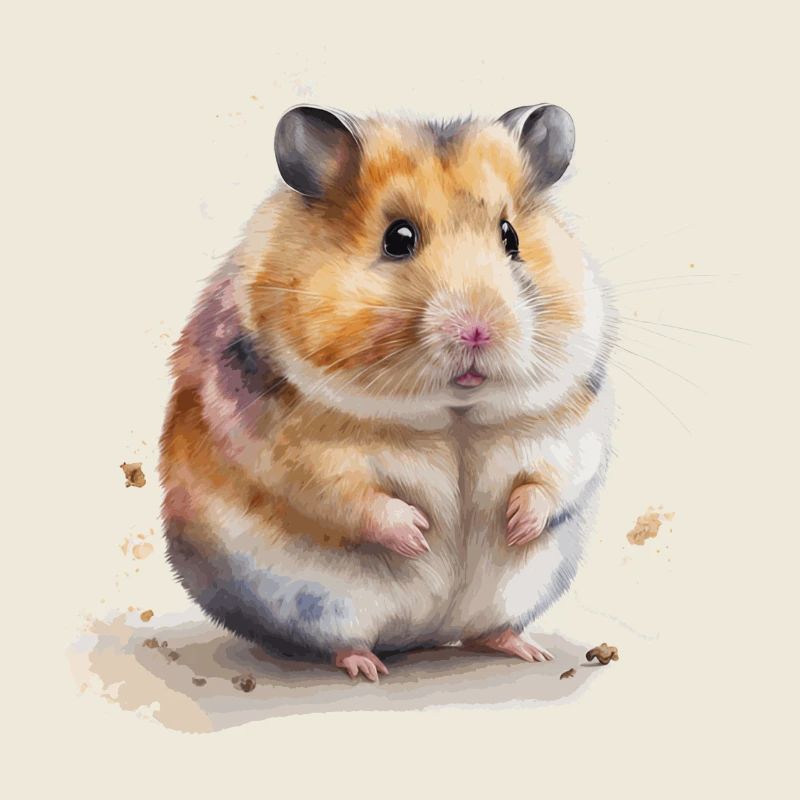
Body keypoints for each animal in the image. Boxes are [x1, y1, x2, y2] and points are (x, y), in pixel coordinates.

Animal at [159, 103, 616, 681]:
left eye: (510, 236)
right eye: (398, 238)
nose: (477, 330)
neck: (454, 413)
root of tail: (426, 635)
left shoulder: (569, 421)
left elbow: (553, 477)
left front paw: (515, 525)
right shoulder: (295, 451)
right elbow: (352, 496)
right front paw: (421, 533)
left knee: (487, 629)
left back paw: (526, 648)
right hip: (320, 603)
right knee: (341, 640)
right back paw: (367, 666)